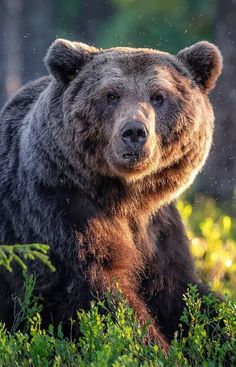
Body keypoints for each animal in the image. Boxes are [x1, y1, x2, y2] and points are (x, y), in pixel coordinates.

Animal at [0, 38, 222, 352]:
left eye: (159, 96)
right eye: (111, 95)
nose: (134, 132)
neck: (125, 196)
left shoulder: (158, 228)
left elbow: (182, 291)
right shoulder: (60, 210)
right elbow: (101, 291)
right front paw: (154, 349)